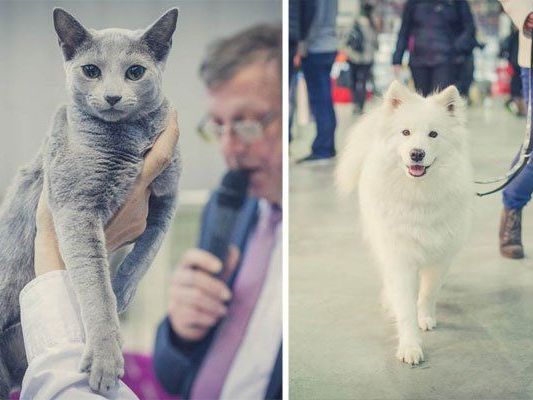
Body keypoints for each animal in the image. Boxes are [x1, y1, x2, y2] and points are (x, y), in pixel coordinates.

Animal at [334, 81, 472, 366]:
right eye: (406, 132)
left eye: (433, 134)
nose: (416, 154)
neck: (418, 195)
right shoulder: (400, 256)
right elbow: (405, 306)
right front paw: (410, 347)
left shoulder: (440, 256)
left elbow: (428, 293)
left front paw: (426, 317)